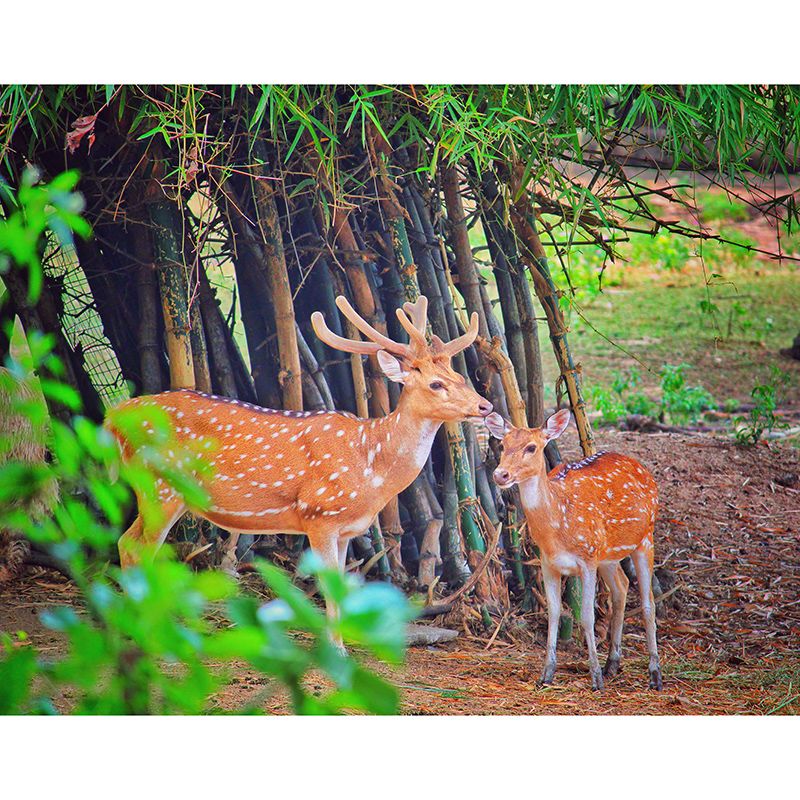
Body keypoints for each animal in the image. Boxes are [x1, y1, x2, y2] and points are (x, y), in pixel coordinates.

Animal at [107, 294, 493, 636]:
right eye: (436, 383)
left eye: (461, 377)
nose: (485, 406)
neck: (370, 466)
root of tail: (115, 415)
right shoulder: (319, 514)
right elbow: (329, 594)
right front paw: (336, 654)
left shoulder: (346, 529)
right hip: (159, 486)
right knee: (137, 547)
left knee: (126, 543)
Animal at [485, 409, 662, 691]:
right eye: (502, 445)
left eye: (531, 447)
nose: (500, 475)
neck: (558, 527)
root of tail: (643, 469)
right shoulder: (548, 563)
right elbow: (554, 613)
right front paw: (546, 674)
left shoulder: (587, 559)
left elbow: (587, 616)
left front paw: (595, 679)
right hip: (607, 555)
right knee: (621, 588)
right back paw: (612, 663)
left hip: (645, 537)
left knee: (648, 602)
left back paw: (654, 674)